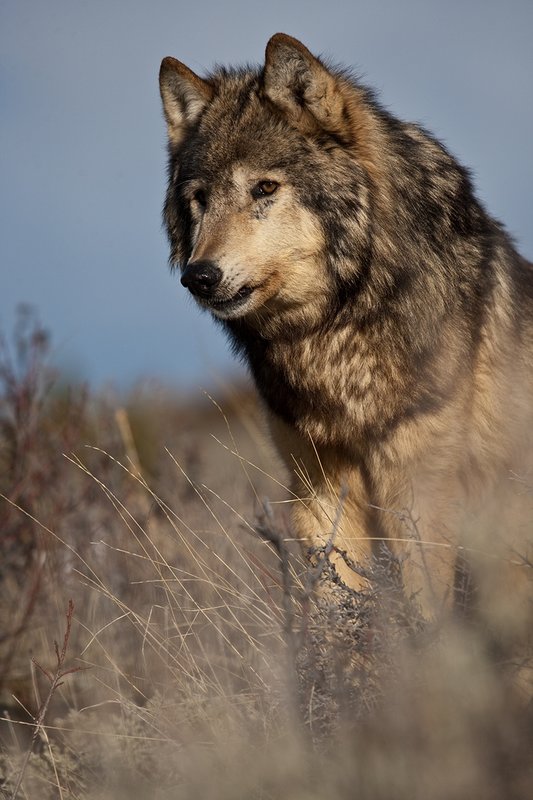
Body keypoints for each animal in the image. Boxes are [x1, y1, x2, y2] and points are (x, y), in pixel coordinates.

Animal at [159, 34, 532, 642]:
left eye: (264, 188)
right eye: (200, 198)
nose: (199, 277)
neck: (332, 331)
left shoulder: (419, 488)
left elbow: (424, 615)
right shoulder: (315, 484)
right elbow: (335, 617)